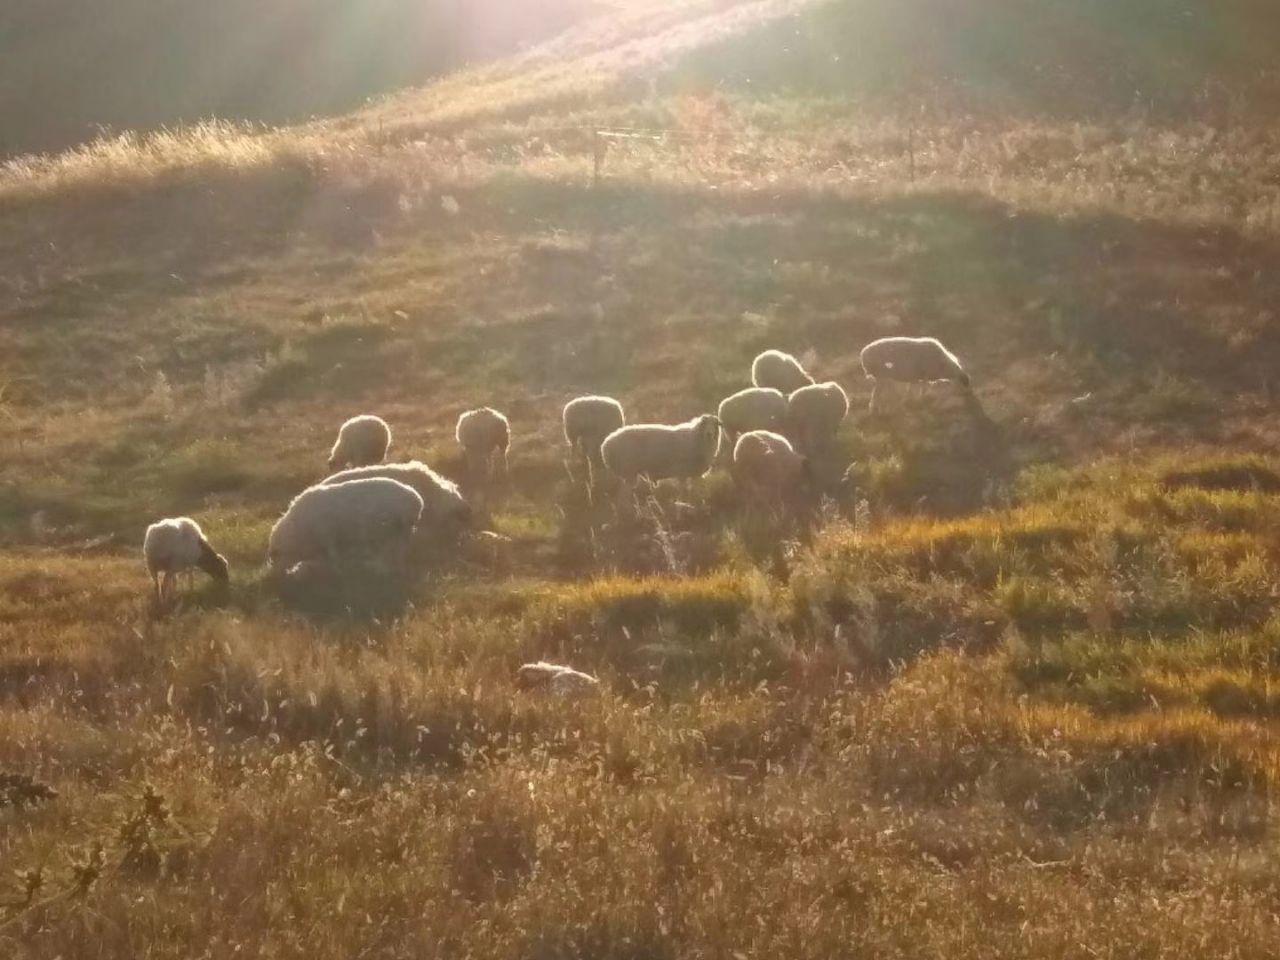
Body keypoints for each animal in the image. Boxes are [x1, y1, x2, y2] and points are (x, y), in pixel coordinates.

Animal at [268, 477, 423, 573]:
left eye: (276, 555)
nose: (277, 577)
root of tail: (416, 499)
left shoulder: (328, 537)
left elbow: (333, 558)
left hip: (399, 530)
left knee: (397, 552)